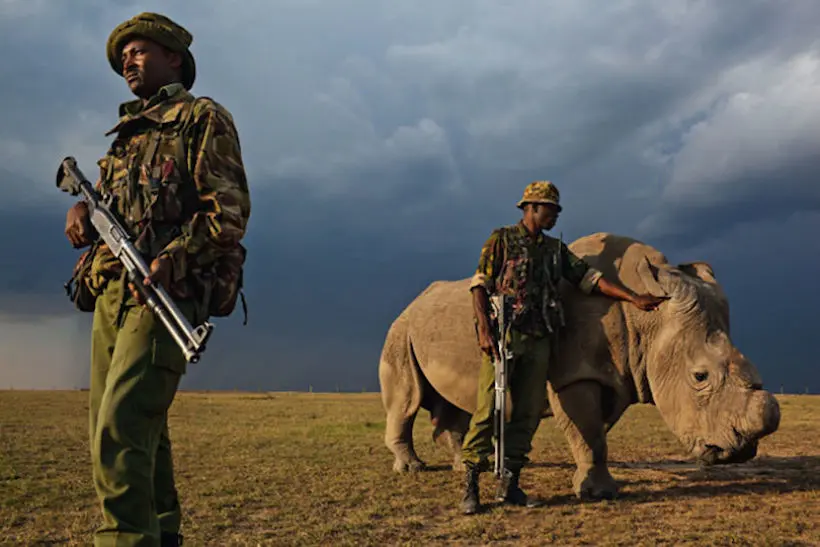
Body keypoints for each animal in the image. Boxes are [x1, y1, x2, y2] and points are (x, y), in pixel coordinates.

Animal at [378, 233, 780, 498]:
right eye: (699, 376)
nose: (739, 451)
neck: (646, 320)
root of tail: (410, 305)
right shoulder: (574, 375)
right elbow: (587, 430)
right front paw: (596, 493)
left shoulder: (616, 374)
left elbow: (594, 432)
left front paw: (593, 483)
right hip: (399, 330)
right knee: (408, 400)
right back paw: (412, 468)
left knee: (456, 404)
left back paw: (463, 465)